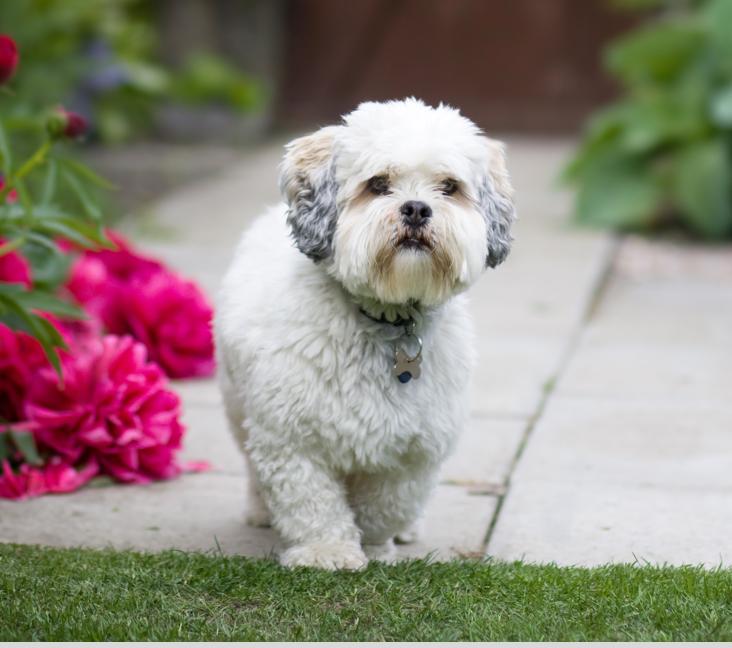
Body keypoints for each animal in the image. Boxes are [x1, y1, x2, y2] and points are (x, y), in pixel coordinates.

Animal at [214, 98, 516, 568]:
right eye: (378, 184)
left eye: (448, 187)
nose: (416, 208)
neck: (387, 320)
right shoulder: (290, 439)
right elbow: (312, 502)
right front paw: (327, 551)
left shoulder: (415, 450)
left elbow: (384, 505)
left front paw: (375, 544)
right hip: (236, 404)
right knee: (250, 462)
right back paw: (261, 510)